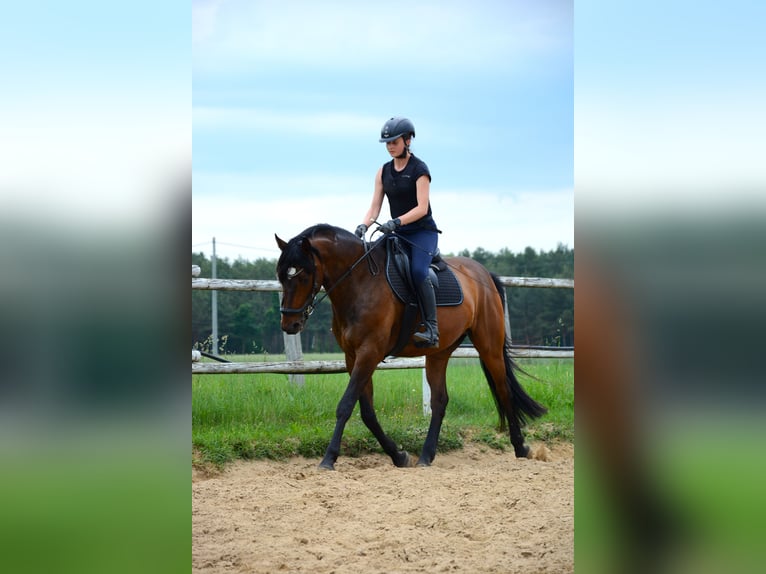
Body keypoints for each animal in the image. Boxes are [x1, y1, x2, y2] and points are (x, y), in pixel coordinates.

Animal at [275, 223, 547, 470]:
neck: (360, 282)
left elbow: (346, 405)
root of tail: (484, 273)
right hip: (439, 353)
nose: (290, 324)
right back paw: (426, 456)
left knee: (503, 390)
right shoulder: (353, 357)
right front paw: (399, 456)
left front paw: (329, 458)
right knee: (440, 400)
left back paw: (520, 447)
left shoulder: (369, 353)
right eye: (280, 276)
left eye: (302, 275)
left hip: (488, 346)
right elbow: (367, 412)